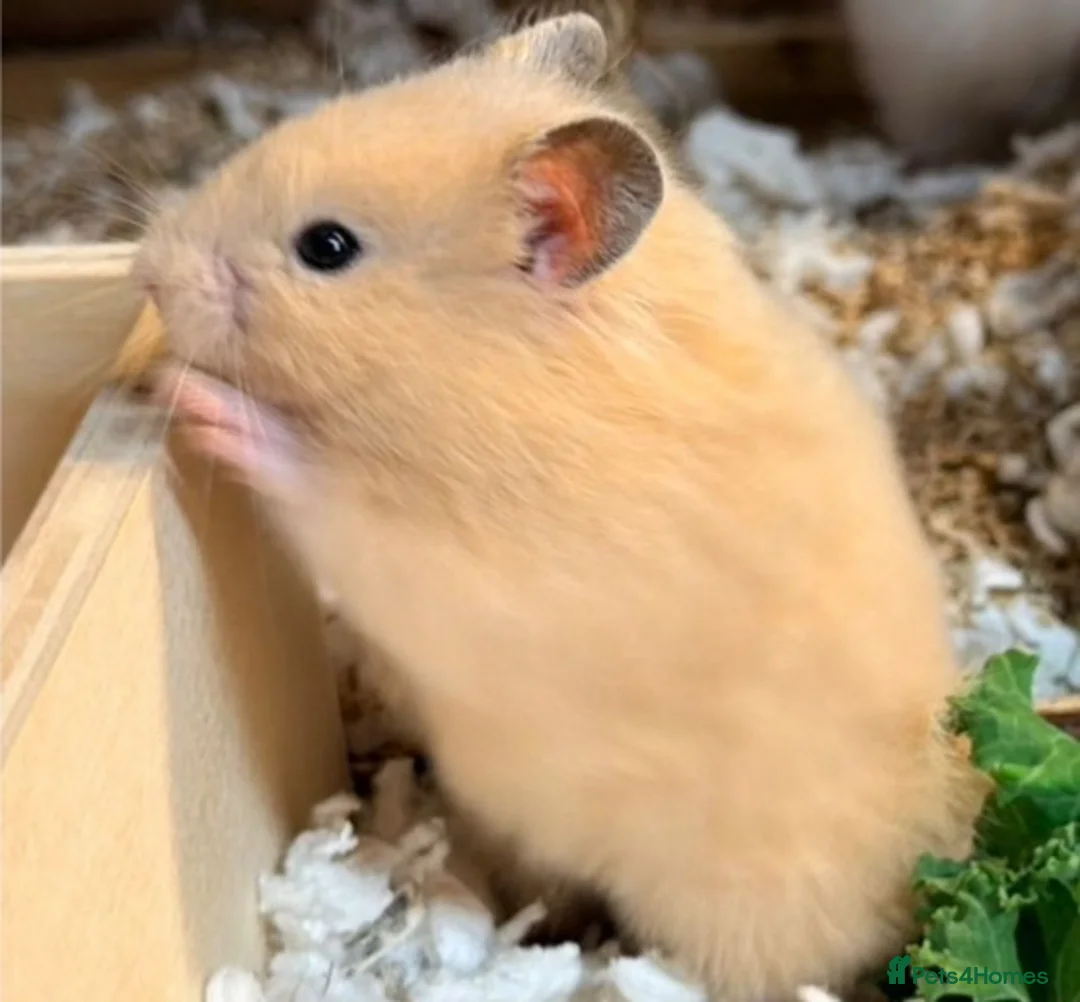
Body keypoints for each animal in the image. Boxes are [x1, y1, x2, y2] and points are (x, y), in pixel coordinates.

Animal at [136, 14, 989, 1000]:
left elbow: (312, 476)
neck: (502, 375)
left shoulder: (441, 555)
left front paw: (190, 395)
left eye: (328, 248)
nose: (146, 269)